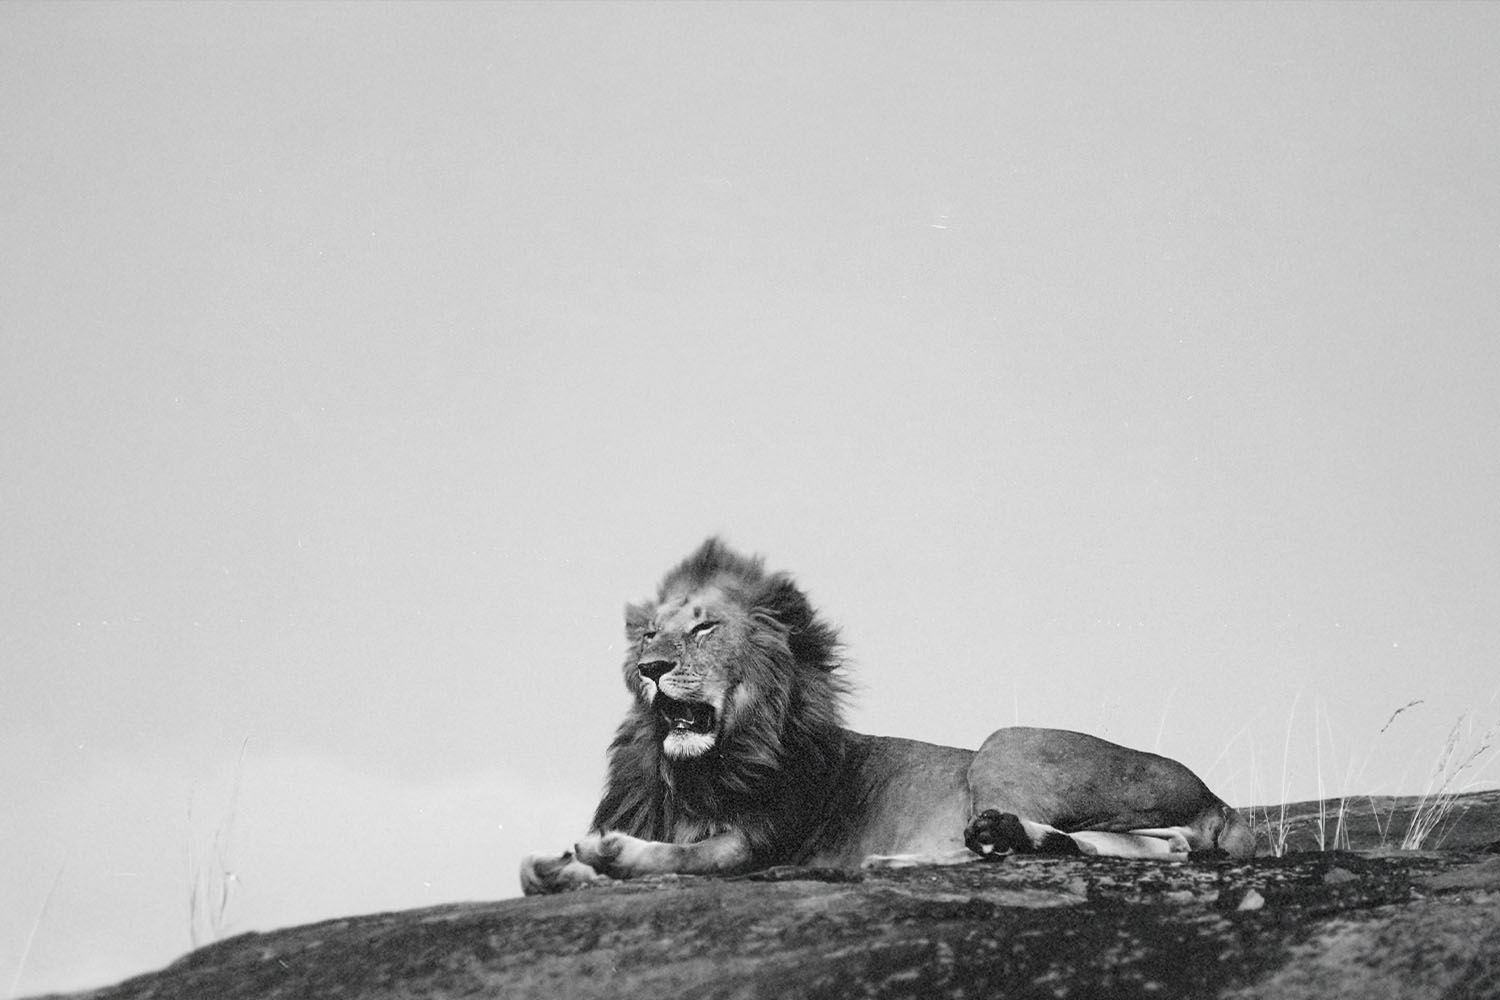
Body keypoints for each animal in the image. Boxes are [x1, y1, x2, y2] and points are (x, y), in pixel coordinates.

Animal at [521, 539, 1254, 894]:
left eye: (703, 628)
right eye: (648, 635)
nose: (651, 668)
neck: (696, 773)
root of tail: (1218, 798)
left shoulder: (760, 845)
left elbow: (687, 855)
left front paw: (608, 852)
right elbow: (531, 871)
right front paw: (562, 866)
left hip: (1002, 745)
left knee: (1172, 844)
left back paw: (965, 845)